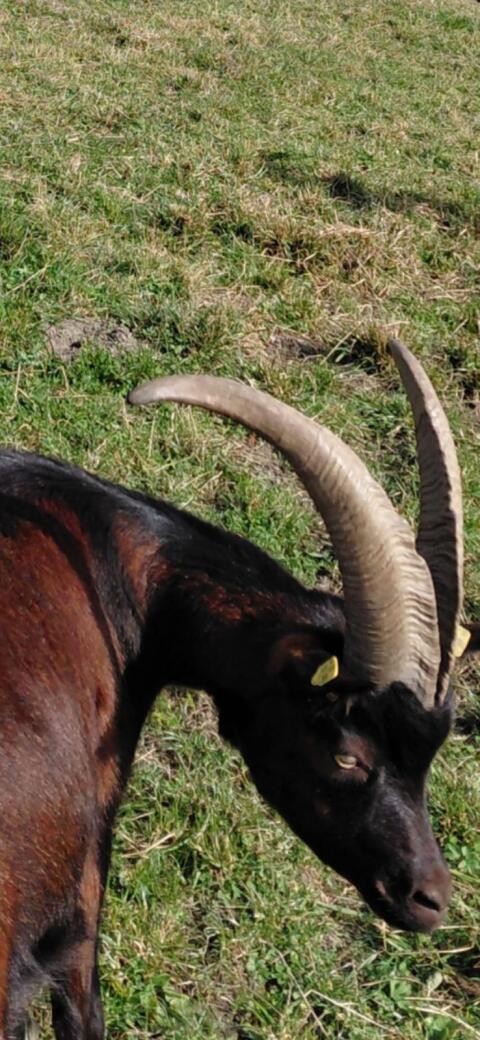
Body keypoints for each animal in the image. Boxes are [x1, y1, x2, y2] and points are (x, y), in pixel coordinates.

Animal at [0, 339, 477, 1039]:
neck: (110, 558)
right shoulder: (81, 874)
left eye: (432, 754)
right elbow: (83, 1009)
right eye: (346, 755)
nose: (430, 899)